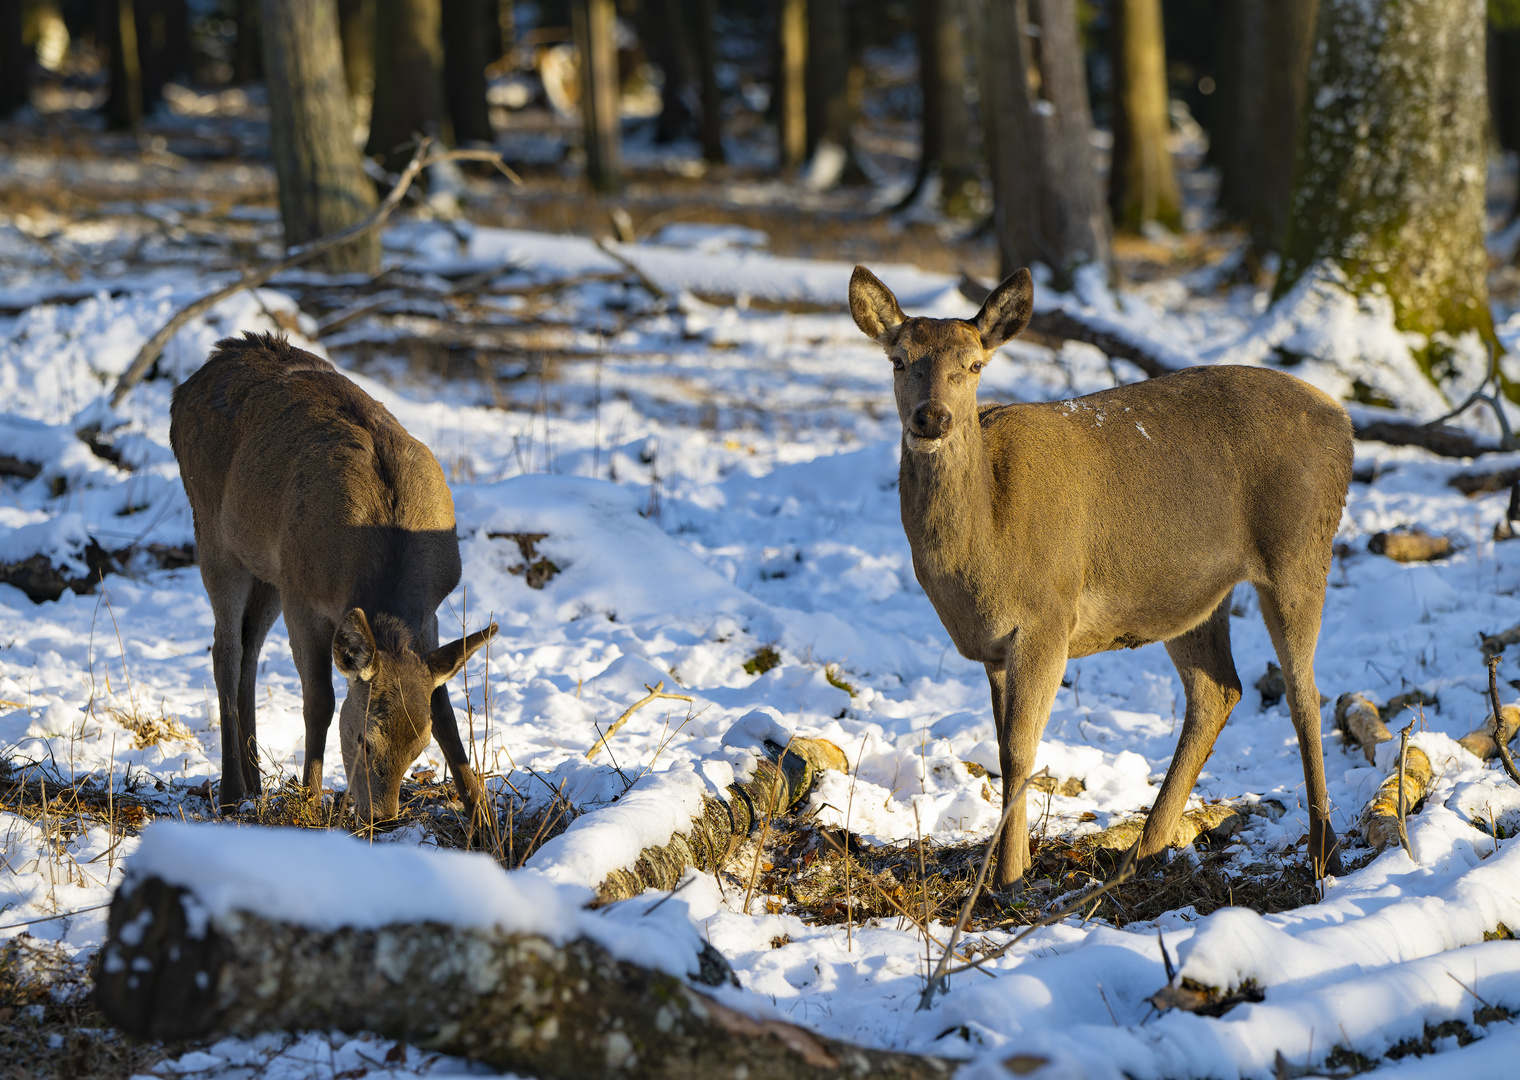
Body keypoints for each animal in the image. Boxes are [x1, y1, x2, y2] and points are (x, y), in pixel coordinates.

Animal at [173, 334, 495, 826]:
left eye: (417, 748)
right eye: (364, 739)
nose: (382, 816)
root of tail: (187, 384)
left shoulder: (431, 609)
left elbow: (442, 705)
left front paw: (481, 814)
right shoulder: (303, 596)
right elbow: (319, 700)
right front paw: (308, 801)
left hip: (268, 566)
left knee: (250, 650)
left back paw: (255, 783)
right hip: (213, 532)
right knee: (225, 650)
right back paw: (230, 792)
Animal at [857, 268, 1355, 887]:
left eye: (974, 365)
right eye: (899, 360)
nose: (932, 417)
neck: (982, 545)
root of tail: (1345, 422)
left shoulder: (1047, 614)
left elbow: (1019, 751)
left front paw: (1010, 879)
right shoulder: (994, 647)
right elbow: (1003, 746)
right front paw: (1010, 864)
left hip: (1299, 550)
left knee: (1303, 692)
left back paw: (1324, 853)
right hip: (1192, 593)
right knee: (1219, 691)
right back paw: (1140, 853)